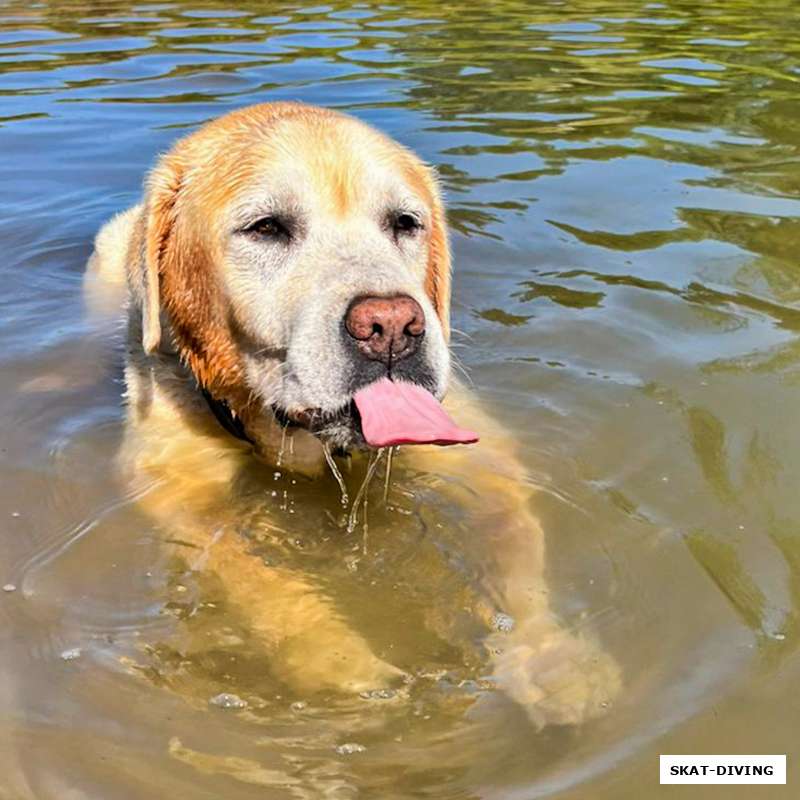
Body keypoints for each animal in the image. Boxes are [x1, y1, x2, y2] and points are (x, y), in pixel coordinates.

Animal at [83, 103, 620, 728]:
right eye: (265, 227)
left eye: (405, 223)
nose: (391, 326)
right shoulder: (171, 483)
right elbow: (261, 582)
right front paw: (344, 664)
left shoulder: (480, 456)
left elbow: (513, 538)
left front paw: (551, 656)